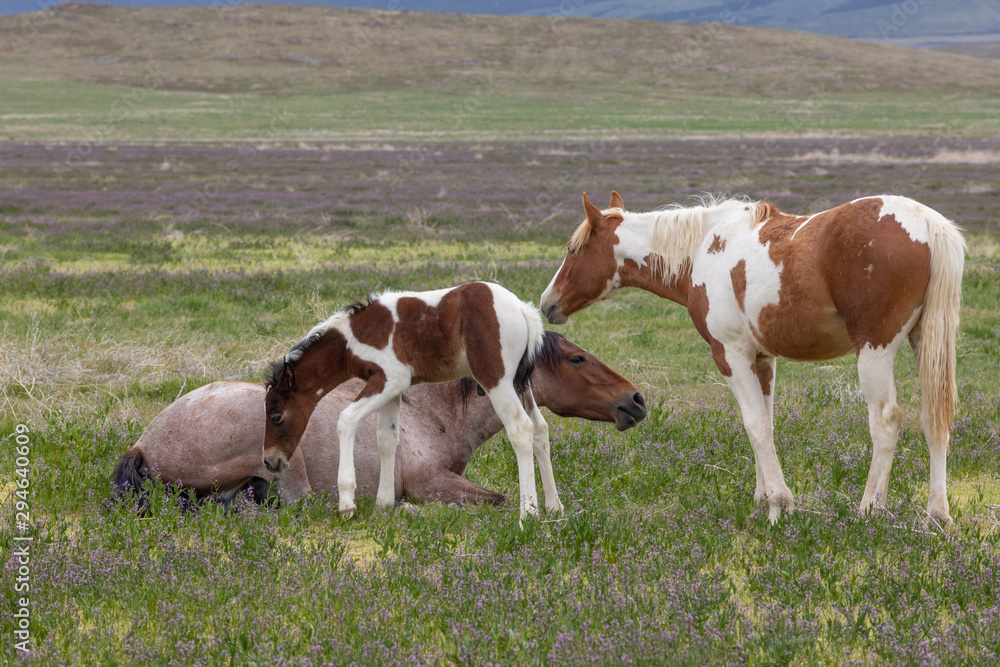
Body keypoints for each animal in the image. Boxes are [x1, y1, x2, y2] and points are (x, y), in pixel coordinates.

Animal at [113, 334, 648, 512]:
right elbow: (494, 499)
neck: (428, 414)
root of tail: (143, 444)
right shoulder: (432, 482)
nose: (637, 400)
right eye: (578, 359)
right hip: (289, 466)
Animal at [262, 282, 560, 520]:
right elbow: (387, 440)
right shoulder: (393, 390)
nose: (269, 461)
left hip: (495, 379)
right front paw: (384, 505)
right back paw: (554, 507)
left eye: (275, 415)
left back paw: (528, 513)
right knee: (540, 429)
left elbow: (346, 420)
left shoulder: (390, 379)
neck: (354, 338)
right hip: (521, 384)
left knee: (520, 429)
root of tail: (523, 311)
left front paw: (347, 504)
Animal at [544, 190, 964, 524]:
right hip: (925, 343)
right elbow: (767, 425)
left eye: (573, 250)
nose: (548, 303)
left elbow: (755, 425)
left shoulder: (730, 355)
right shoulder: (763, 360)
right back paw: (937, 515)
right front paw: (763, 501)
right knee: (935, 421)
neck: (702, 250)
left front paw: (779, 504)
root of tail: (927, 222)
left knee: (885, 421)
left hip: (874, 352)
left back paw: (869, 509)